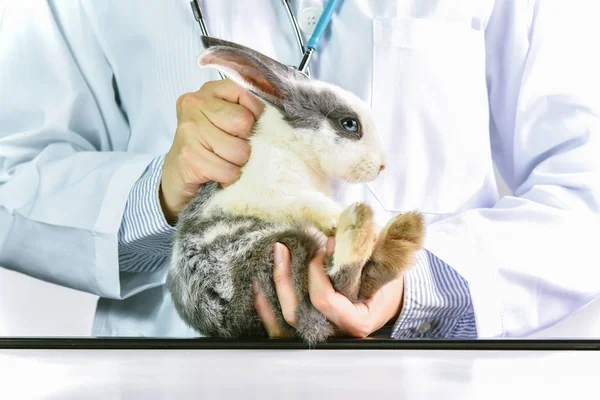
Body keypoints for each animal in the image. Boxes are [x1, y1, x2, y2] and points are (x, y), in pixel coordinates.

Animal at [166, 36, 424, 346]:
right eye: (350, 124)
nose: (383, 165)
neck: (292, 148)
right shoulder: (274, 191)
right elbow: (309, 204)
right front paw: (338, 218)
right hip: (265, 250)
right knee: (342, 285)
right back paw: (362, 228)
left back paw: (403, 232)